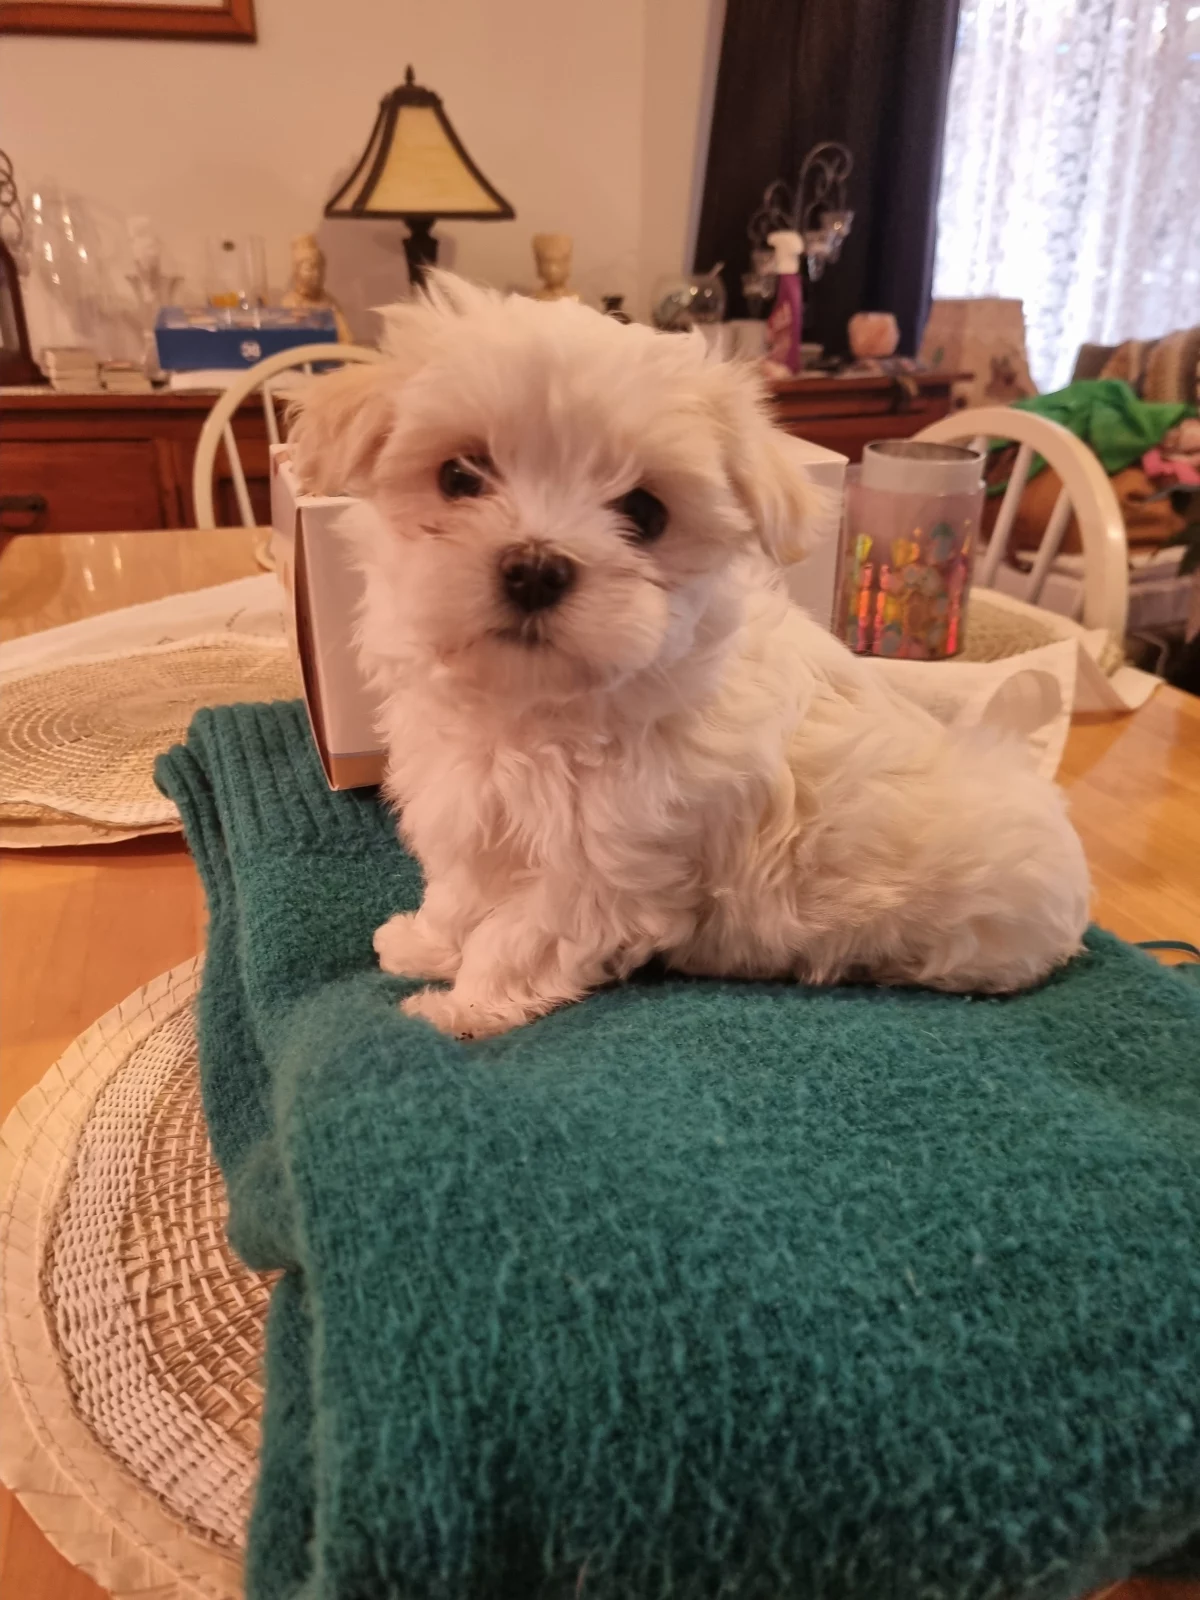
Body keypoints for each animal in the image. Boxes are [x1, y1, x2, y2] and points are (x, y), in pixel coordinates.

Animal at [288, 273, 1090, 1038]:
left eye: (645, 513)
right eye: (459, 476)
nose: (535, 568)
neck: (536, 708)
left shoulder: (600, 872)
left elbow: (517, 934)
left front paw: (462, 1008)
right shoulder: (472, 806)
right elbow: (460, 892)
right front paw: (424, 944)